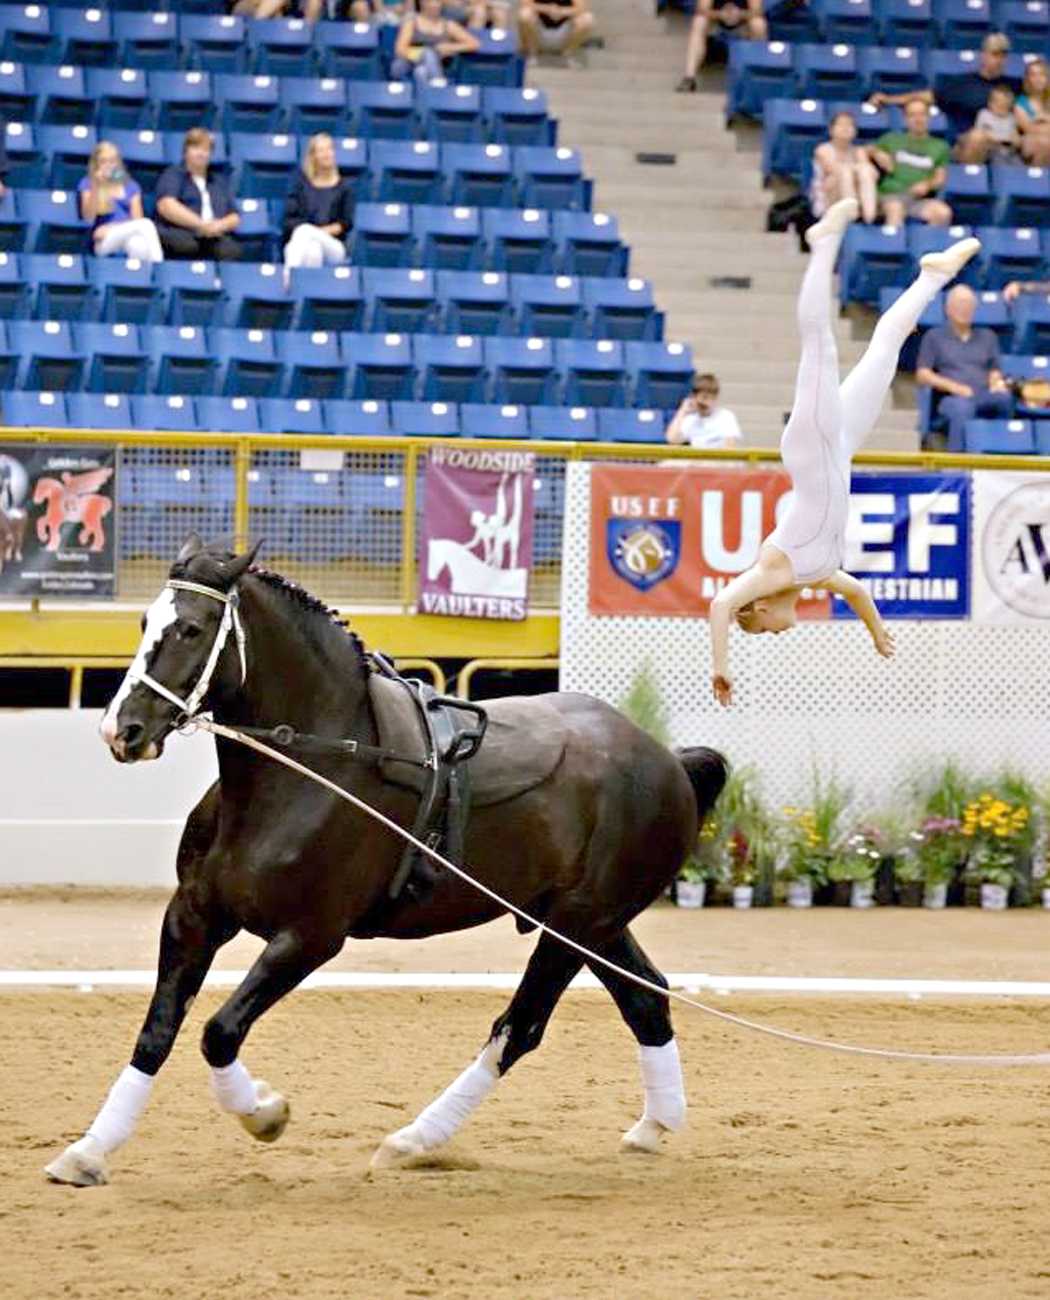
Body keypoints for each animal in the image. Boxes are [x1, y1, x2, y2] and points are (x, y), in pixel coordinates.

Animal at [45, 538, 727, 1190]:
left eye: (191, 628)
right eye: (144, 622)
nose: (123, 730)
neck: (310, 769)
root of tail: (668, 760)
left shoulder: (310, 938)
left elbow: (218, 1032)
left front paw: (265, 1113)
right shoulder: (192, 918)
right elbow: (157, 1032)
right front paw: (88, 1152)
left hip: (575, 928)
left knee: (521, 1027)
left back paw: (414, 1141)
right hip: (594, 927)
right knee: (647, 1000)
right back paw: (654, 1125)